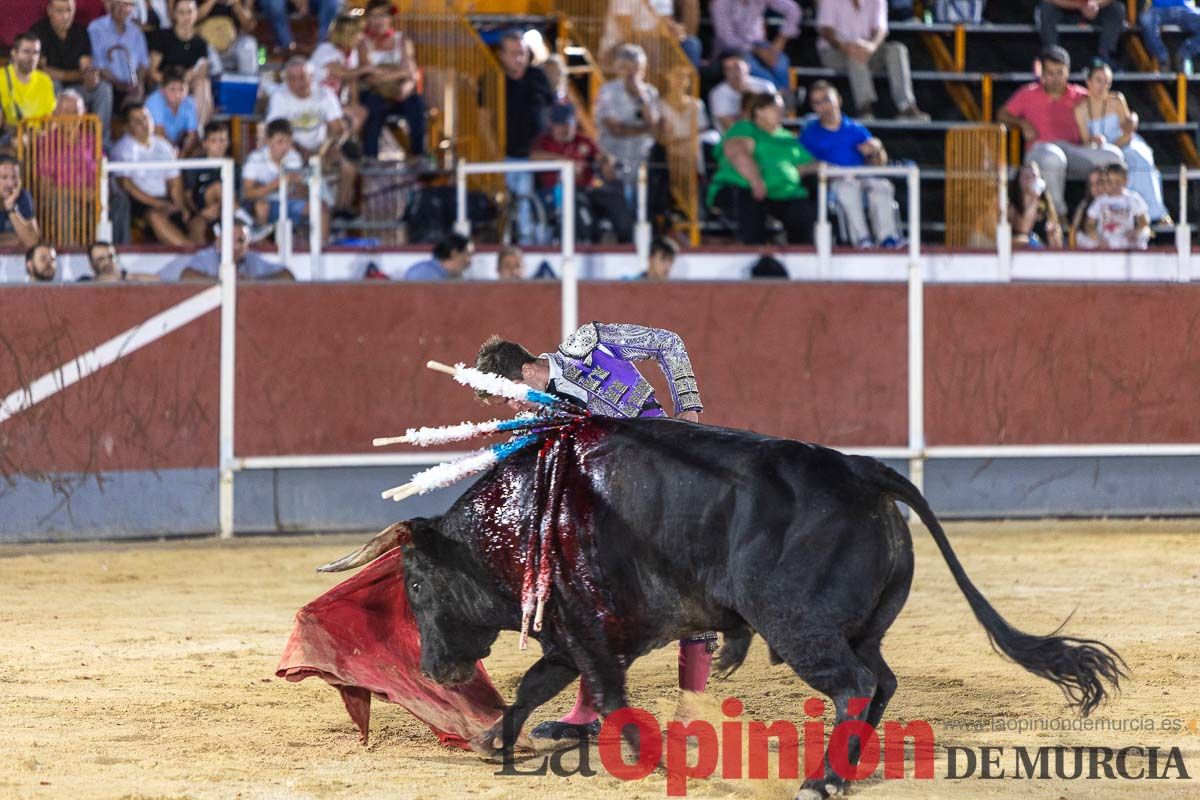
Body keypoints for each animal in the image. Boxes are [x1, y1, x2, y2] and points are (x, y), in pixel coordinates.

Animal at [343, 417, 1118, 796]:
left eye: (416, 586)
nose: (434, 670)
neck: (527, 516)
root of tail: (865, 471)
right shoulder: (578, 636)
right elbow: (538, 687)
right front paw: (498, 739)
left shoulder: (585, 630)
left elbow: (602, 694)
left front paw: (645, 753)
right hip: (858, 627)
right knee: (880, 680)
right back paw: (847, 767)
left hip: (800, 628)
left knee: (856, 684)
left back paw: (823, 779)